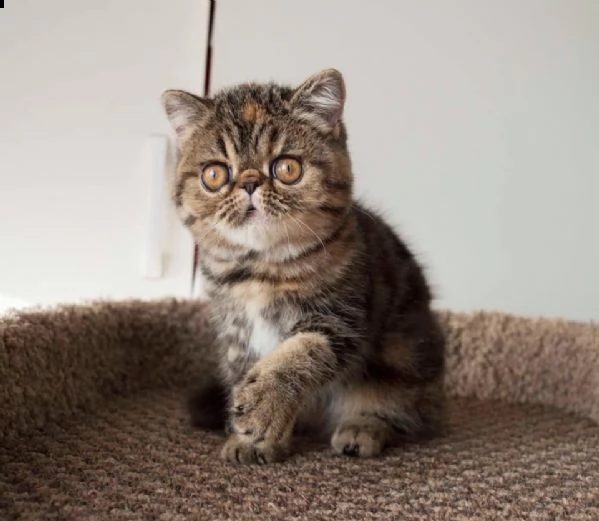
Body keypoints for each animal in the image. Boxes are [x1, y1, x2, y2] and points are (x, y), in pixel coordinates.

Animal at [161, 68, 446, 464]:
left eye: (287, 168)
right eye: (215, 175)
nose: (249, 182)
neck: (259, 271)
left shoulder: (341, 317)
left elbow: (302, 353)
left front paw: (264, 406)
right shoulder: (236, 334)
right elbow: (243, 374)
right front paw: (250, 440)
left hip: (406, 352)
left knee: (398, 404)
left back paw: (364, 428)